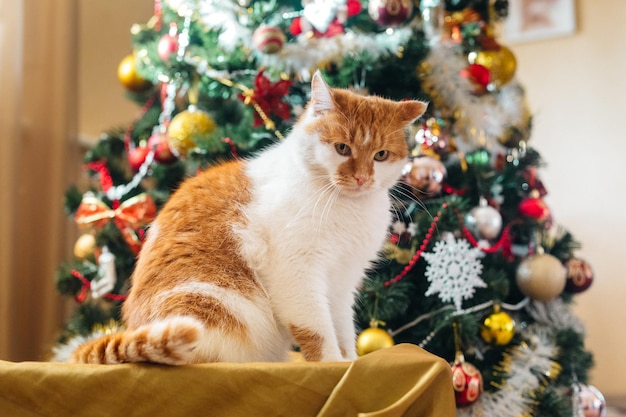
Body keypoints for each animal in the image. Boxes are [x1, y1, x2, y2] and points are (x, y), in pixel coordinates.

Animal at [70, 71, 426, 364]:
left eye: (380, 155)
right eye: (342, 148)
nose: (363, 178)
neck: (346, 207)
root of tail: (134, 330)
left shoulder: (342, 282)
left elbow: (343, 329)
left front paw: (350, 362)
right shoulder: (297, 272)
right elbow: (319, 331)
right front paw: (331, 364)